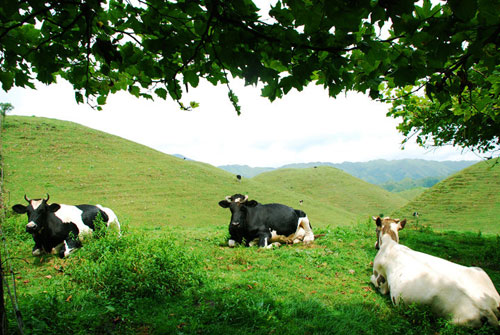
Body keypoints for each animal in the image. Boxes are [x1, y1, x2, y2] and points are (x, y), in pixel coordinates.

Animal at [372, 217, 500, 330]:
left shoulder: (380, 279)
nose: (375, 245)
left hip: (455, 322)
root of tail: (486, 307)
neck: (390, 244)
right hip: (481, 271)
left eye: (376, 230)